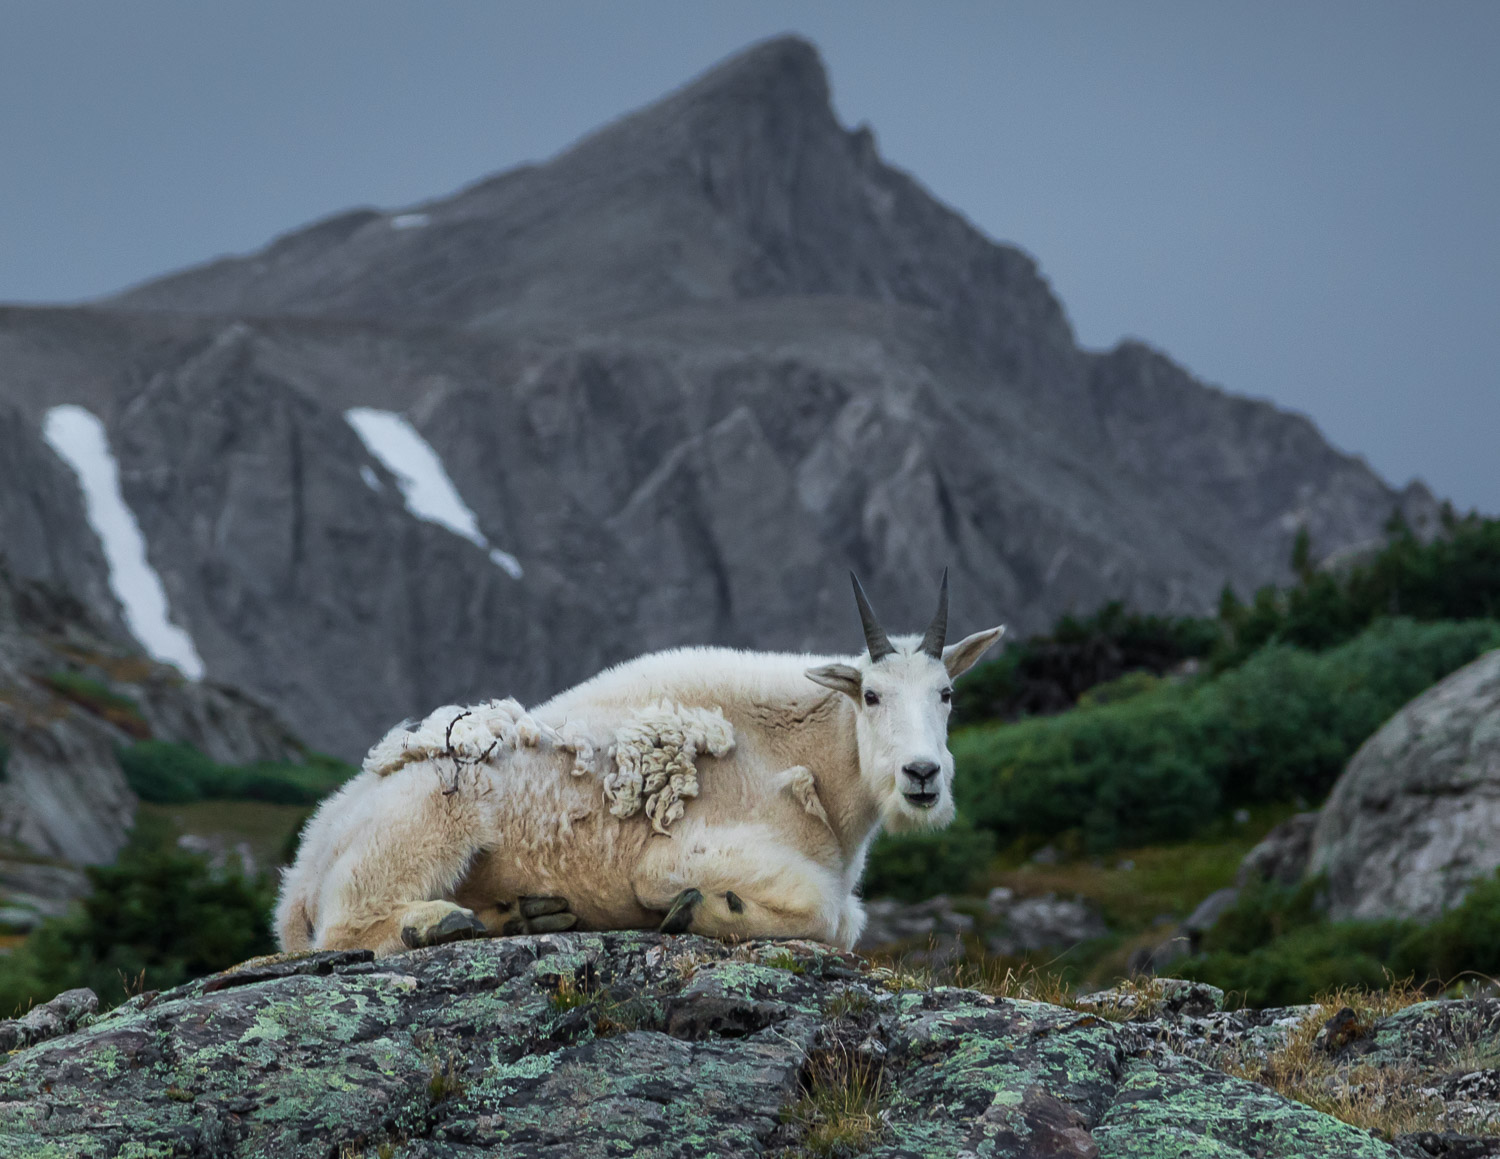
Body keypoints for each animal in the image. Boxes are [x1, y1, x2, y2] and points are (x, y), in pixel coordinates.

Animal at [279, 572, 1008, 953]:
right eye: (873, 695)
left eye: (947, 693)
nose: (922, 775)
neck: (811, 765)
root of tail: (304, 865)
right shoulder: (686, 853)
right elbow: (832, 914)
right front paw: (700, 909)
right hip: (426, 823)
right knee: (345, 927)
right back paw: (438, 921)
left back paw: (522, 917)